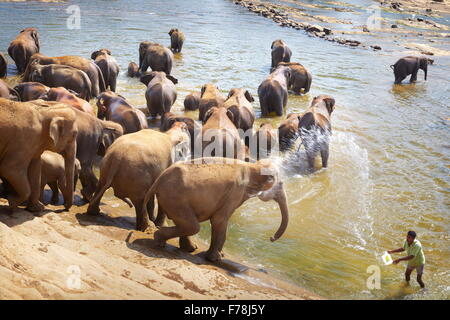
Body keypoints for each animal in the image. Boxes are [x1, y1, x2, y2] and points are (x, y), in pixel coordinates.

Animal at [142, 158, 290, 262]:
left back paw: (190, 248)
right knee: (193, 226)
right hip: (175, 199)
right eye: (281, 183)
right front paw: (216, 258)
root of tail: (158, 180)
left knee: (187, 225)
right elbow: (219, 220)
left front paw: (220, 255)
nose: (271, 238)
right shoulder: (235, 192)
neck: (252, 167)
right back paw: (159, 240)